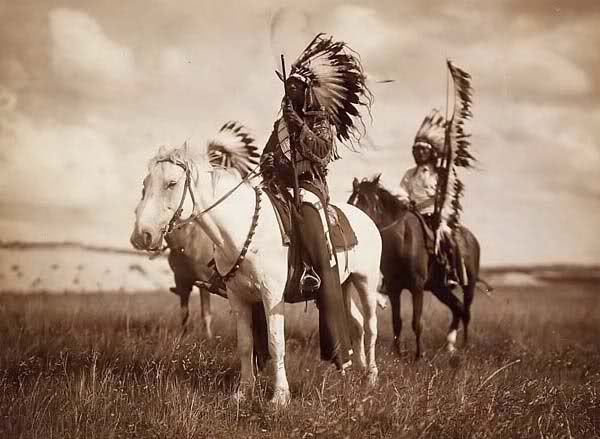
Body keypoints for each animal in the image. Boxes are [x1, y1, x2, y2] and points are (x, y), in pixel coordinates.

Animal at [132, 143, 382, 408]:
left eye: (171, 183)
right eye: (145, 184)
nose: (142, 235)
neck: (242, 230)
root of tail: (366, 218)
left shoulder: (272, 296)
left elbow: (276, 343)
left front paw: (280, 397)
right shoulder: (239, 297)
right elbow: (245, 344)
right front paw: (243, 392)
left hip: (366, 282)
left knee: (370, 325)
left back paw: (371, 376)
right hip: (343, 285)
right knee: (357, 323)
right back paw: (355, 370)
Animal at [346, 175, 482, 358]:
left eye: (365, 202)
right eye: (350, 202)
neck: (403, 240)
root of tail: (472, 238)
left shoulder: (416, 287)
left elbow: (417, 322)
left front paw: (419, 355)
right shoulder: (394, 288)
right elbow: (397, 322)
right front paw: (397, 354)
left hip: (469, 285)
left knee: (466, 311)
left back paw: (465, 345)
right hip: (439, 288)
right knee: (457, 308)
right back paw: (450, 346)